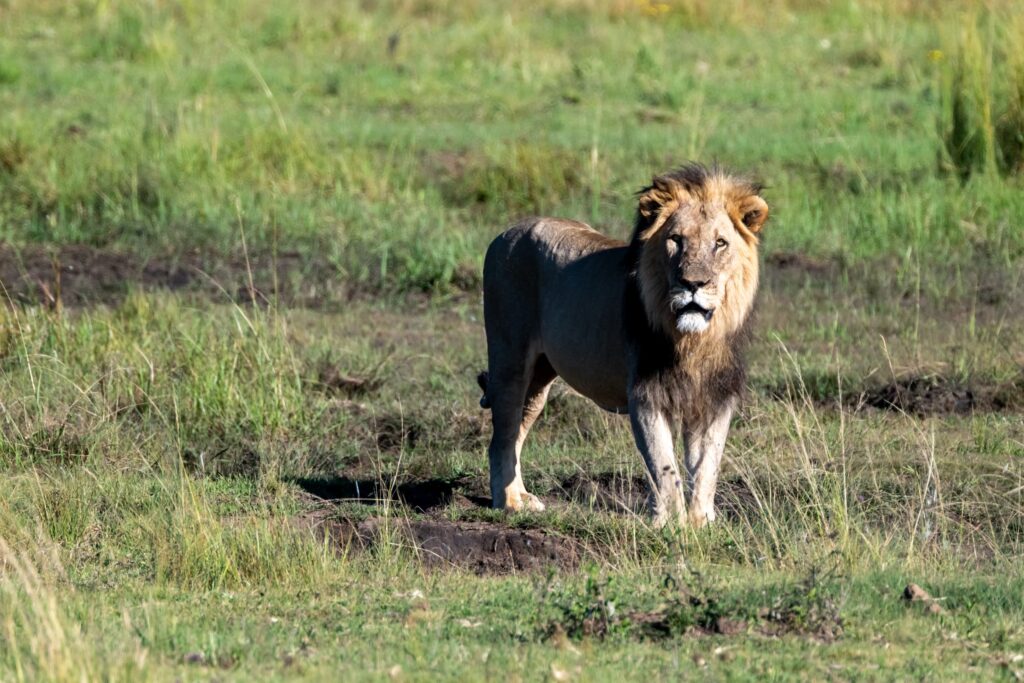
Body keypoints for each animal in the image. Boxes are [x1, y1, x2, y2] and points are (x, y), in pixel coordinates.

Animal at [475, 162, 765, 528]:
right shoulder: (644, 395)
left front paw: (701, 523)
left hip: (539, 380)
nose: (693, 284)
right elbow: (664, 466)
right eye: (675, 240)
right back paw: (509, 503)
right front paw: (671, 525)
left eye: (720, 243)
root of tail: (507, 231)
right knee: (501, 436)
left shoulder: (714, 398)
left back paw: (522, 496)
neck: (694, 341)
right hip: (509, 359)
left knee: (516, 433)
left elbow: (706, 468)